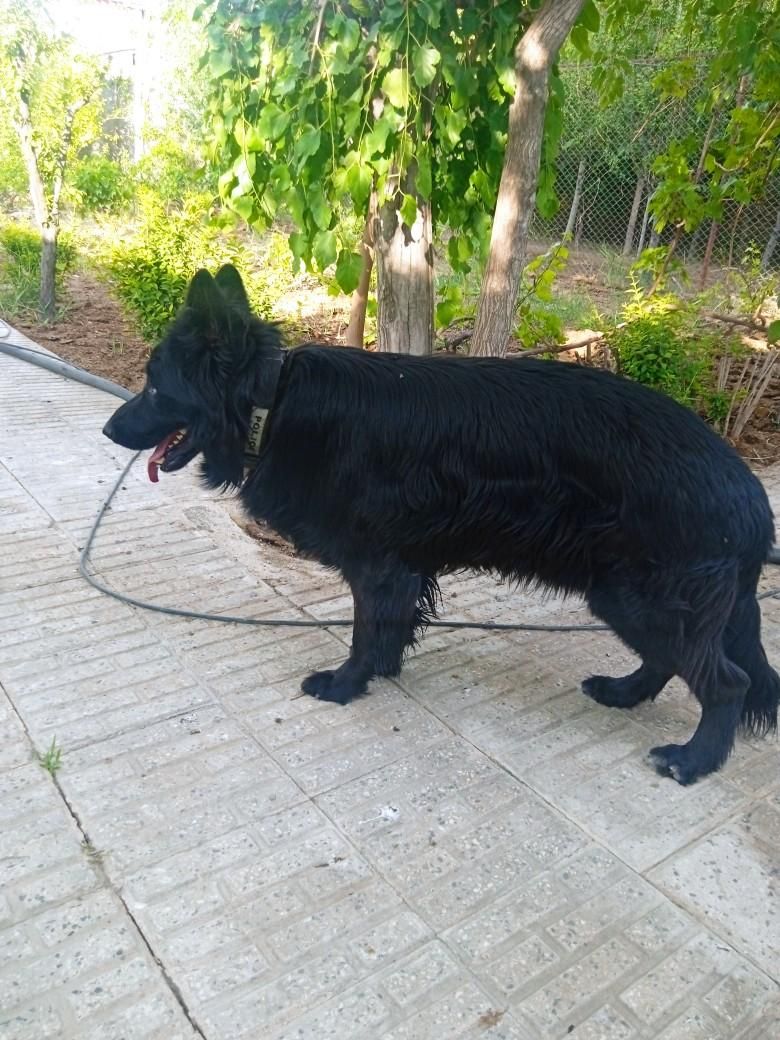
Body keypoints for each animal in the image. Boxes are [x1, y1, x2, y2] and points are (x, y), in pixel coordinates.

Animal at [102, 265, 779, 784]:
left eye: (155, 388)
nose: (108, 429)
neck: (276, 400)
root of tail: (750, 495)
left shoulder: (377, 565)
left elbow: (365, 631)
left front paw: (347, 683)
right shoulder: (400, 569)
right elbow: (388, 630)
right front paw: (380, 671)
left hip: (642, 599)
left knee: (728, 683)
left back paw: (694, 761)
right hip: (630, 598)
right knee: (672, 663)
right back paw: (625, 694)